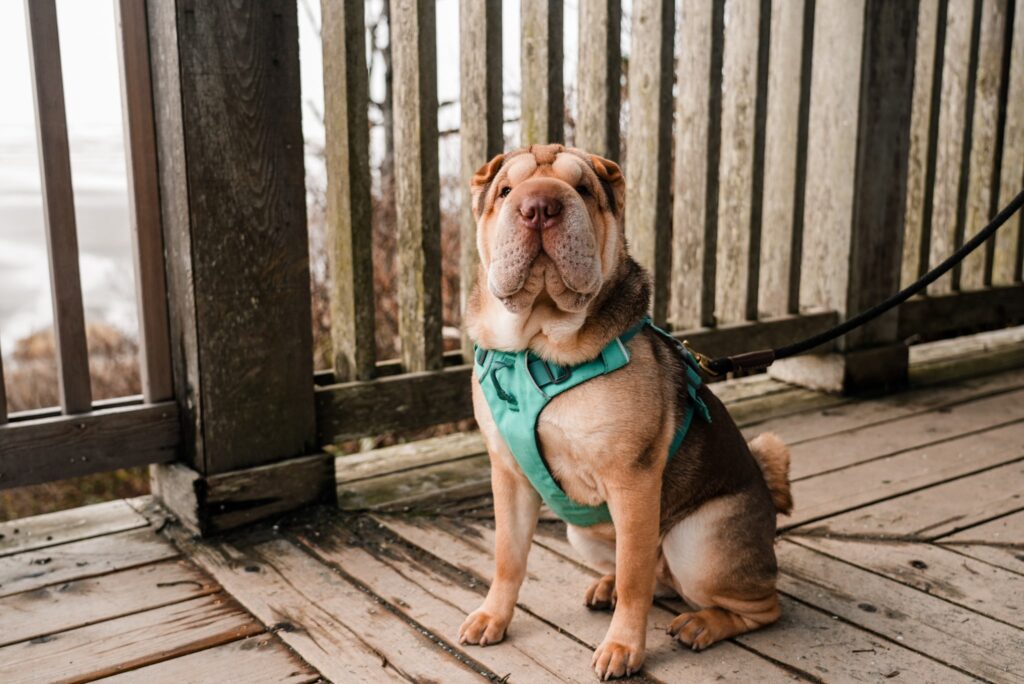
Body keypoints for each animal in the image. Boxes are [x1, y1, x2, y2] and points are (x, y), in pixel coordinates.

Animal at [458, 144, 792, 680]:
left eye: (583, 190)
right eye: (506, 191)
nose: (539, 207)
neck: (538, 349)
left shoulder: (631, 482)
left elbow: (636, 577)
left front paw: (623, 647)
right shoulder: (508, 475)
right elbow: (508, 557)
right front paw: (494, 616)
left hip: (698, 545)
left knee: (757, 603)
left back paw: (703, 623)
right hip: (581, 533)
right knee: (651, 578)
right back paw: (607, 586)